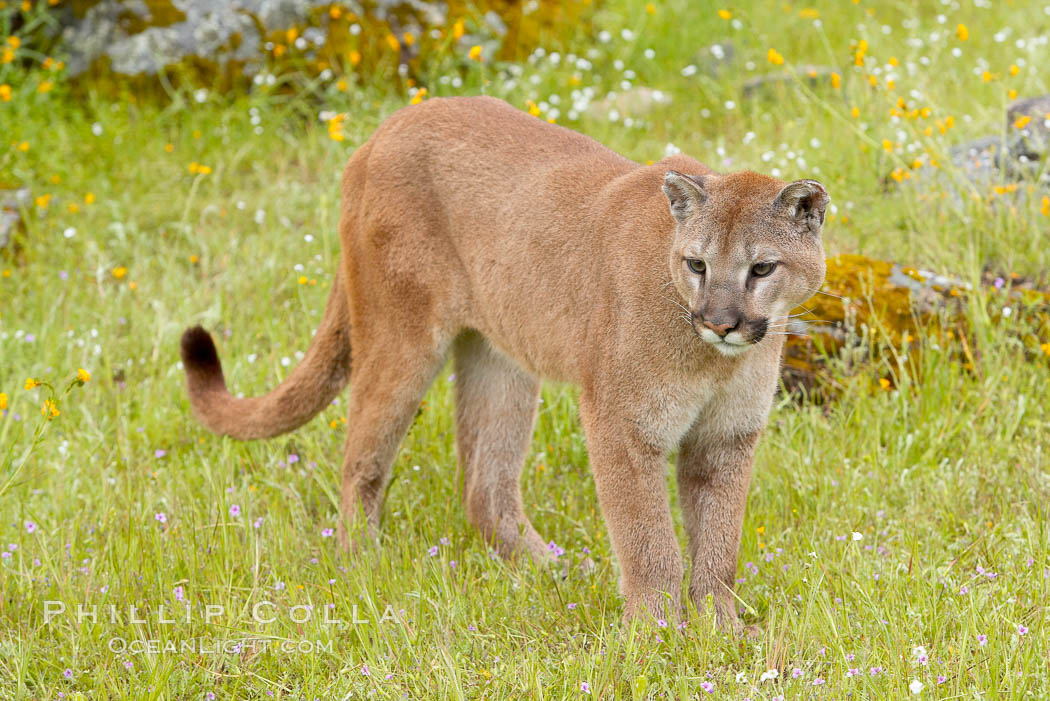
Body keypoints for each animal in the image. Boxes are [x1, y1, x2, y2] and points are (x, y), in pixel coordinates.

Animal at [180, 96, 823, 633]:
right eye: (696, 264)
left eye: (761, 269)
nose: (720, 321)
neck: (714, 362)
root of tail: (384, 129)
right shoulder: (623, 426)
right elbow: (649, 542)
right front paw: (656, 635)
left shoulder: (726, 437)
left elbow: (719, 544)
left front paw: (721, 631)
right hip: (400, 339)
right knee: (359, 459)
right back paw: (363, 564)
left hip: (500, 359)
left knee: (484, 486)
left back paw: (557, 569)